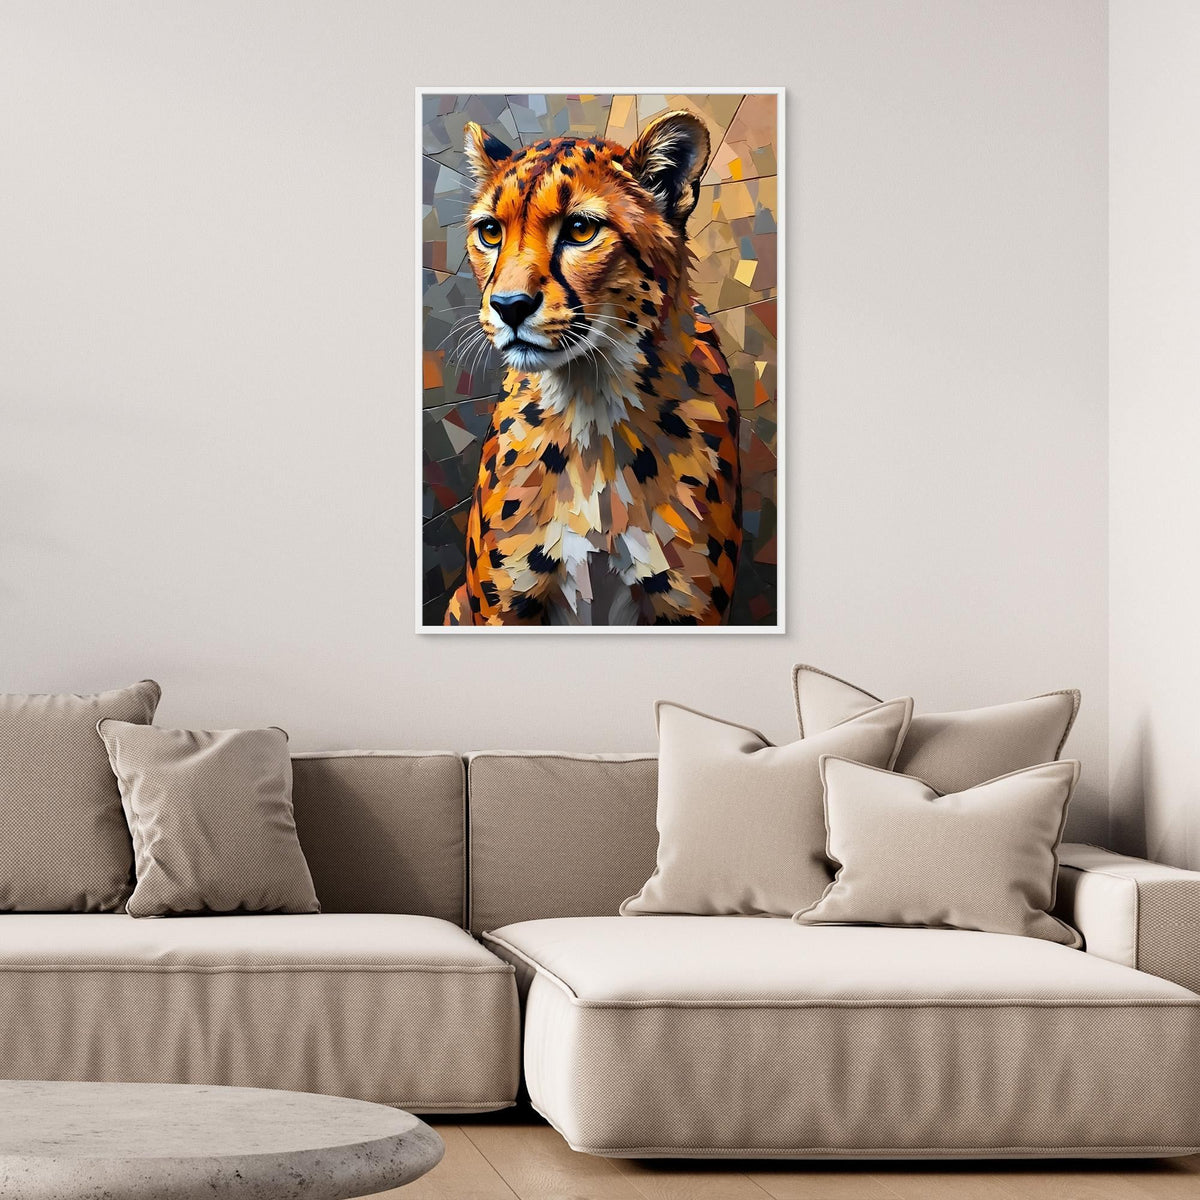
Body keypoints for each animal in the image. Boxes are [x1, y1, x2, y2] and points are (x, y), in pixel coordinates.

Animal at [442, 109, 741, 626]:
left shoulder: (690, 608)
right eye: (490, 232)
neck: (590, 399)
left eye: (581, 229)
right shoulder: (502, 608)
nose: (509, 306)